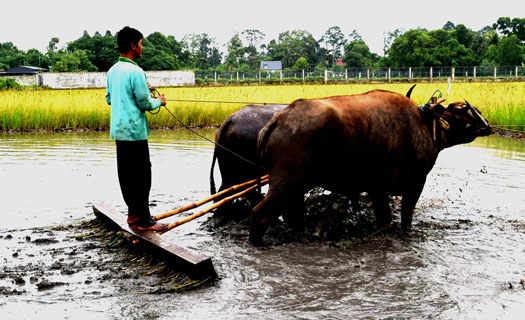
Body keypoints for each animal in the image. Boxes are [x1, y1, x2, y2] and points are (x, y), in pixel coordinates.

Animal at [250, 89, 492, 244]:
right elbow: (405, 217)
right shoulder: (415, 184)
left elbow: (383, 218)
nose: (487, 126)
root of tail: (279, 119)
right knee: (260, 213)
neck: (424, 123)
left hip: (296, 187)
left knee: (292, 216)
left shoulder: (377, 189)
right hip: (286, 183)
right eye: (465, 110)